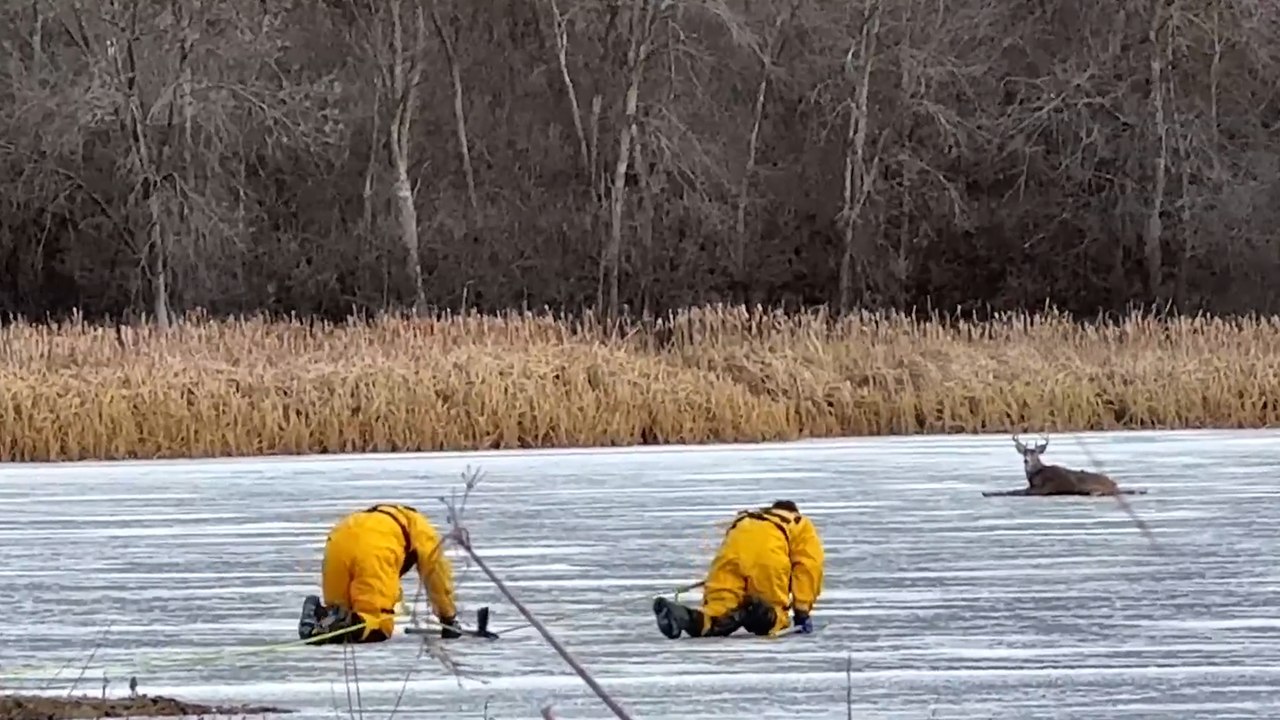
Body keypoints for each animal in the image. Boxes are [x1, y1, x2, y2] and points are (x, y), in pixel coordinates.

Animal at [982, 434, 1147, 497]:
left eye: (1035, 454)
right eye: (1024, 453)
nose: (1026, 461)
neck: (1035, 475)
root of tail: (1114, 484)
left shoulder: (1043, 488)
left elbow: (1016, 491)